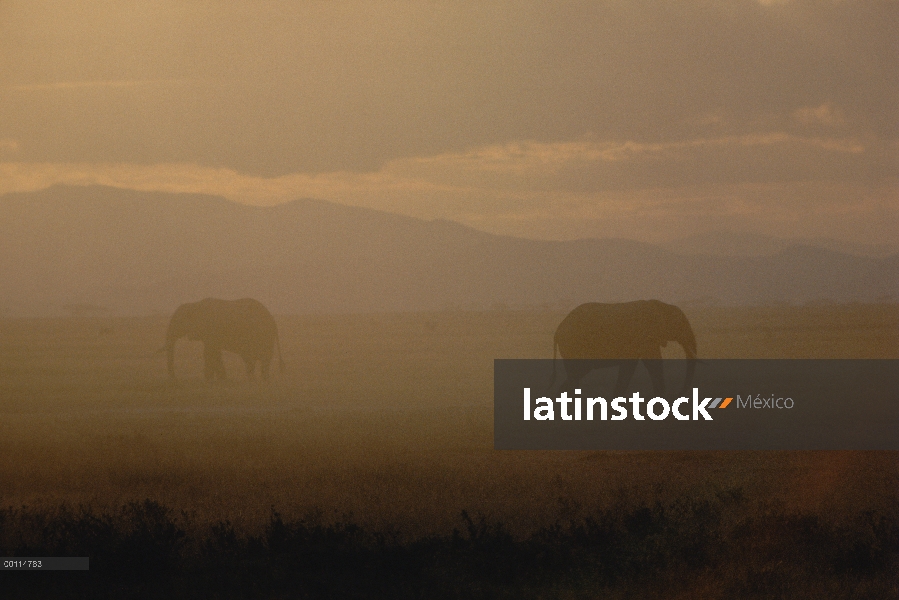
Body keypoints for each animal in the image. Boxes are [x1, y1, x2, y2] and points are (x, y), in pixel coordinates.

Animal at [552, 300, 700, 398]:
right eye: (681, 325)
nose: (678, 393)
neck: (662, 306)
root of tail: (558, 329)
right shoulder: (645, 335)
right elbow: (653, 363)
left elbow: (630, 367)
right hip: (573, 346)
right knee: (576, 375)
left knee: (575, 375)